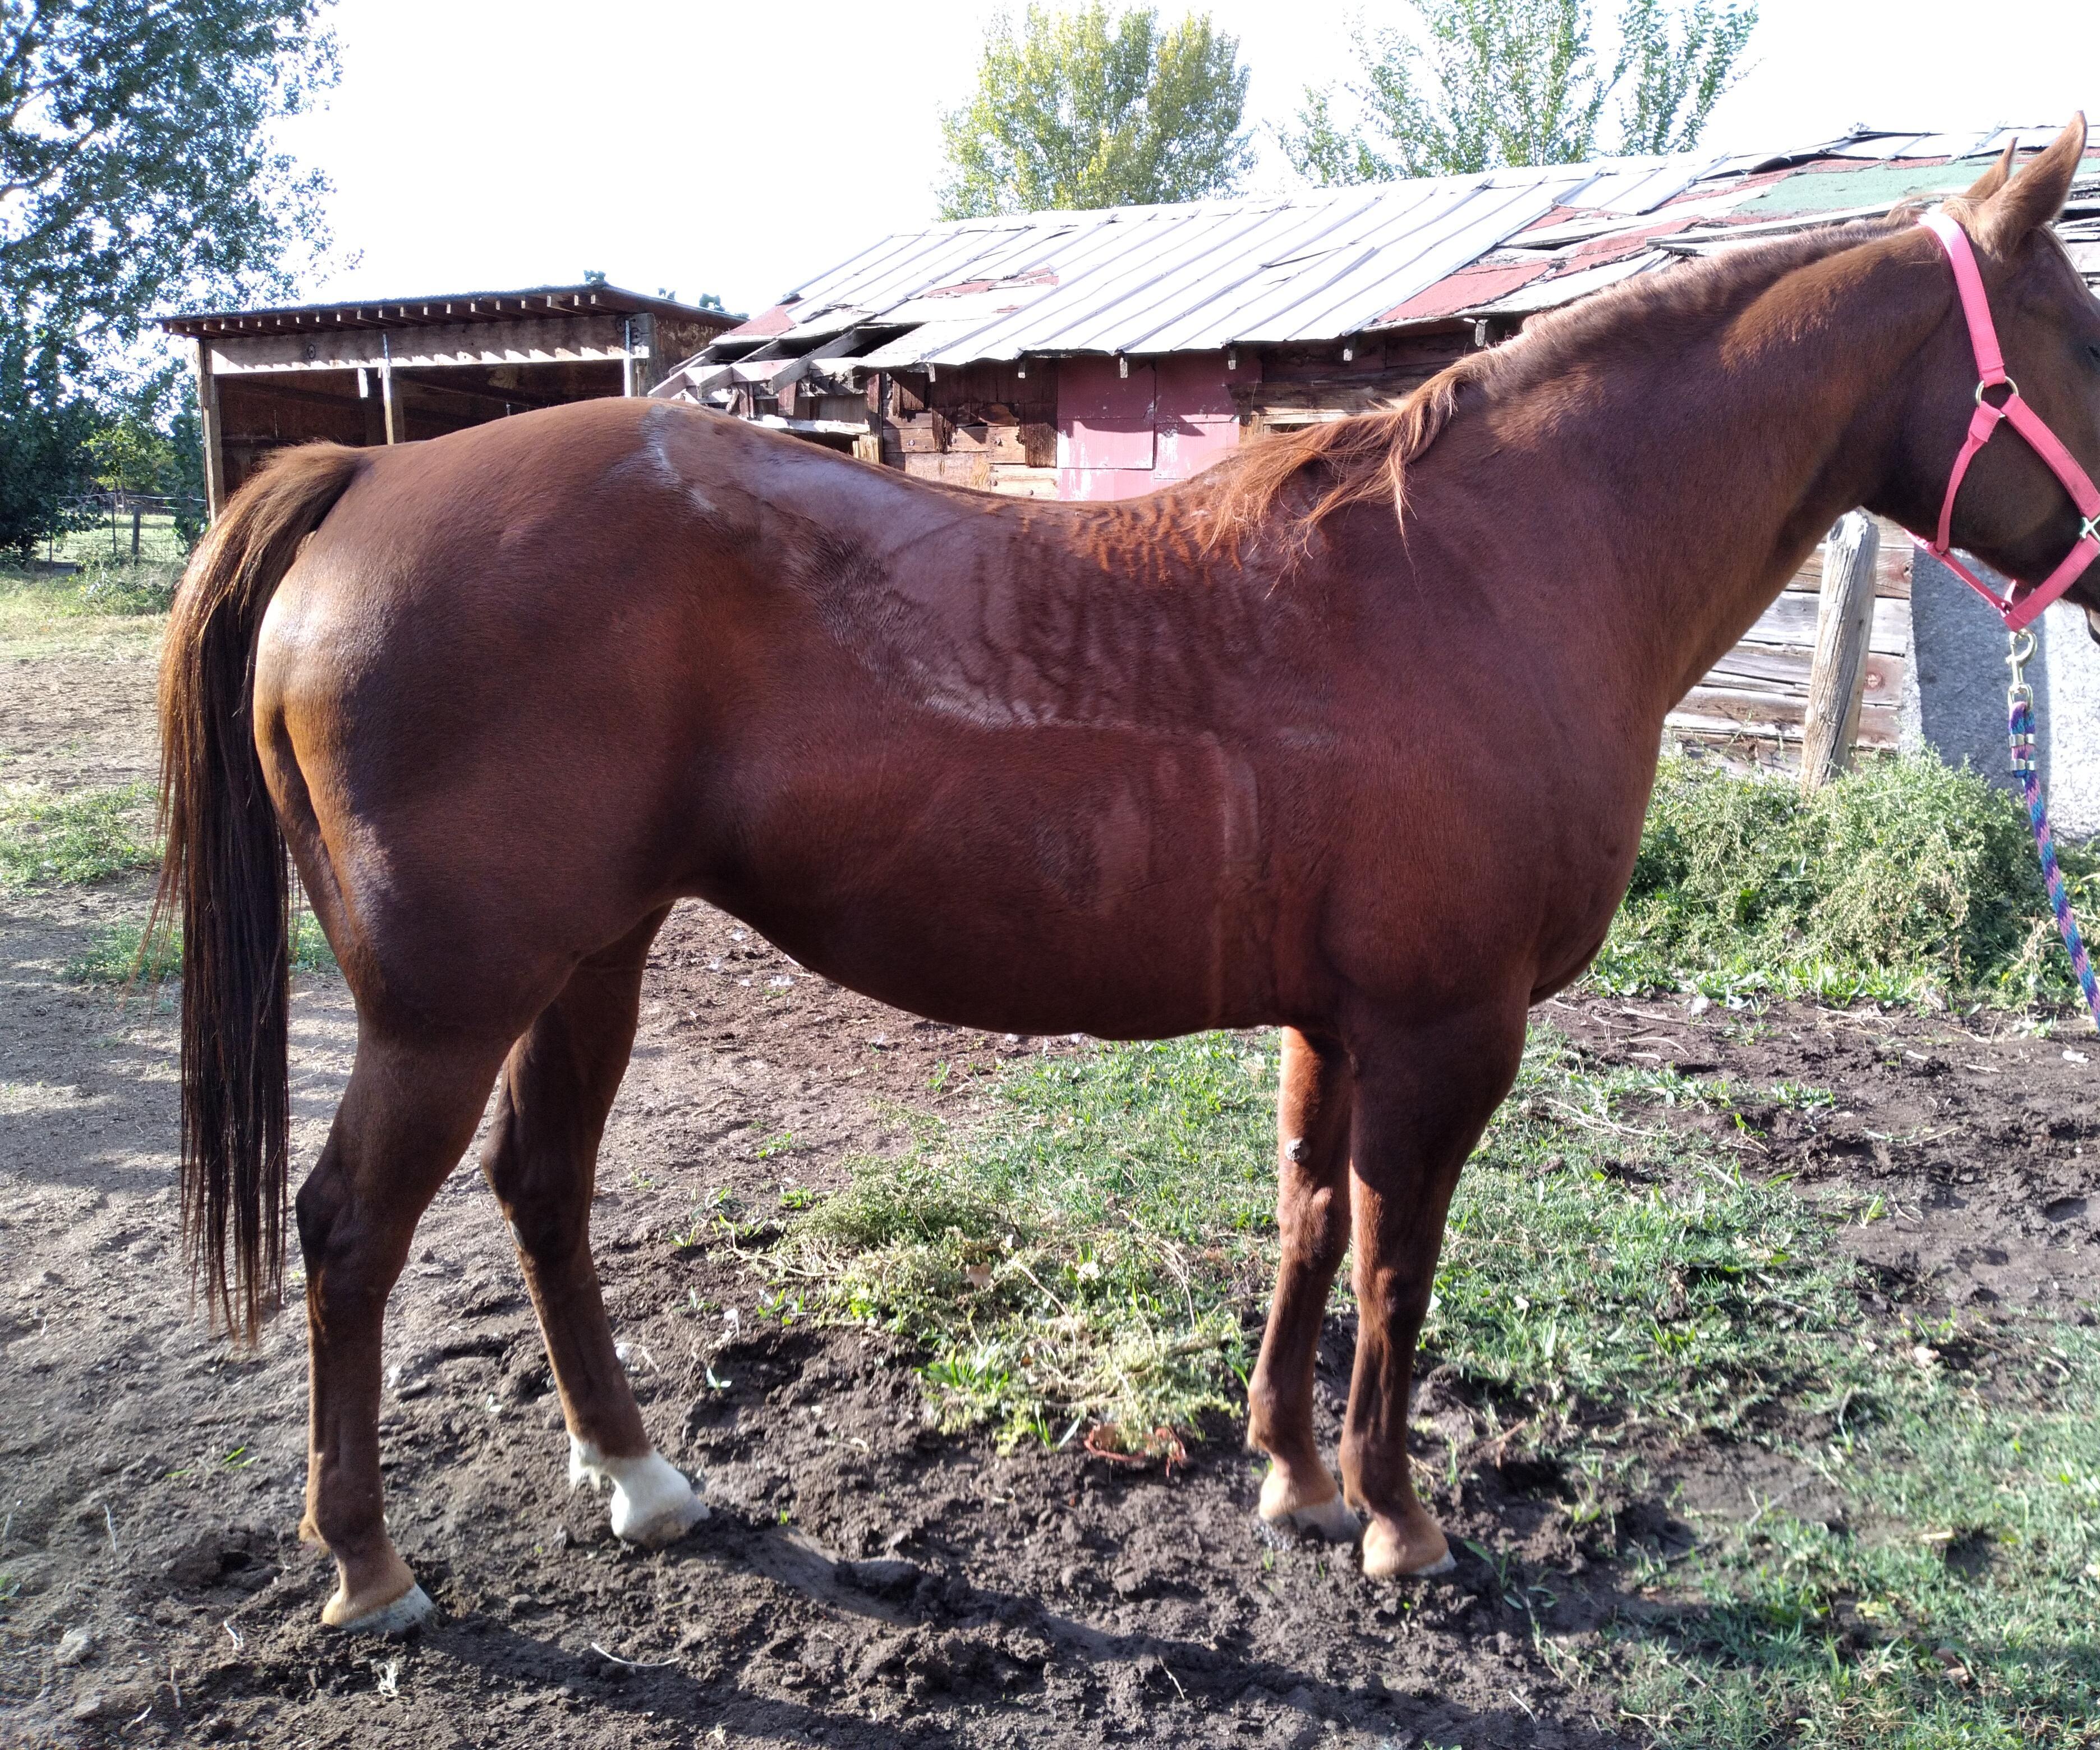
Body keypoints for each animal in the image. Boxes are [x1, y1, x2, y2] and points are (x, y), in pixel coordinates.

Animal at [155, 119, 2100, 1632]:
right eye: (2080, 339)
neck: (1489, 565)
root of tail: (364, 478)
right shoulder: (1444, 1029)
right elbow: (1397, 1257)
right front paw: (1398, 1520)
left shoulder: (1339, 1020)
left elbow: (1308, 1221)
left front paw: (1292, 1477)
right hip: (449, 1000)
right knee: (351, 1226)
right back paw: (370, 1565)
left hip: (595, 959)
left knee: (539, 1184)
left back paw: (638, 1475)